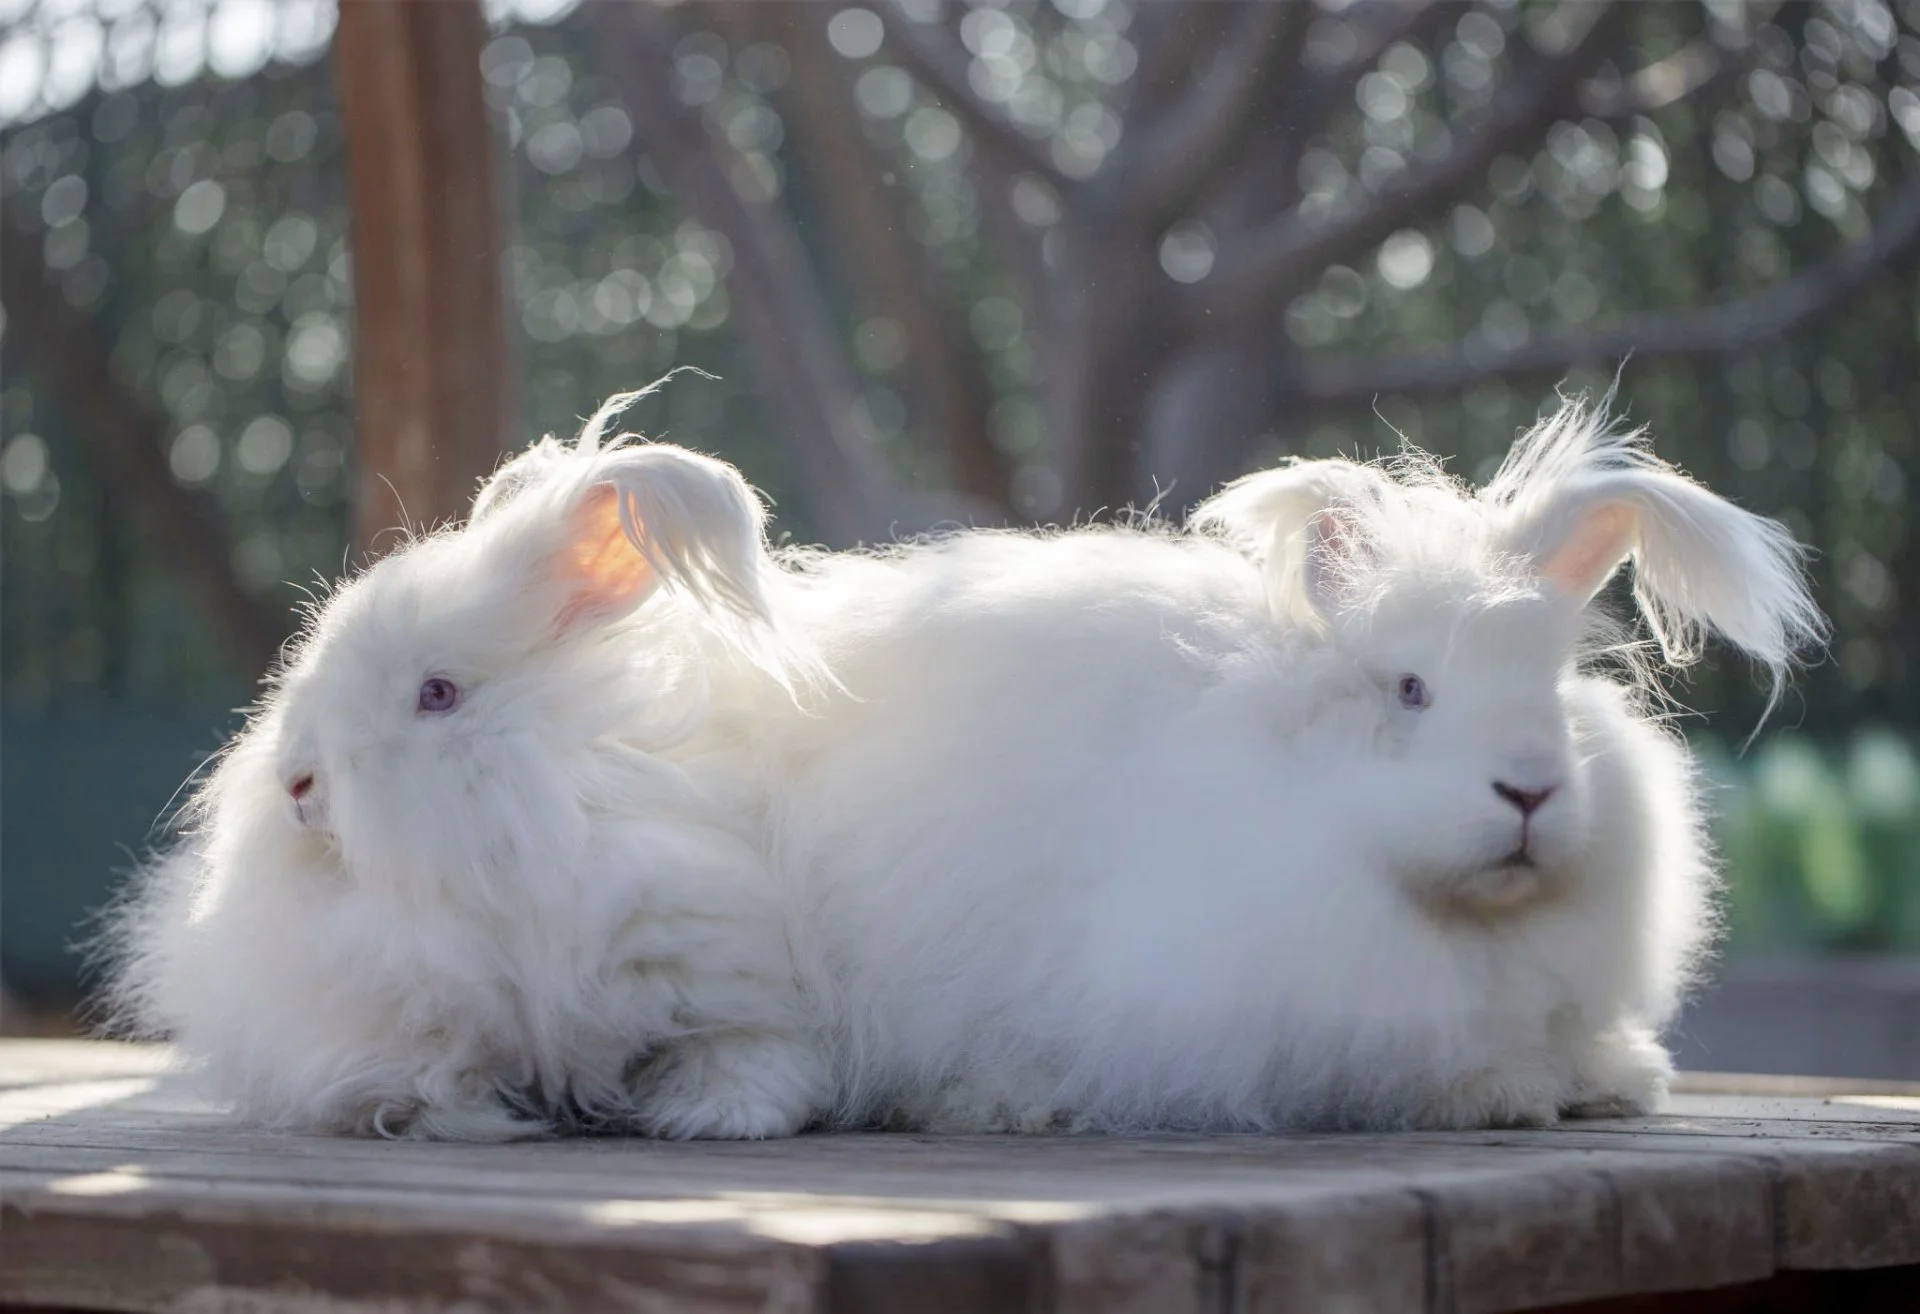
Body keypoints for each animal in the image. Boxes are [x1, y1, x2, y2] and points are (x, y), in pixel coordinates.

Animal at [99, 394, 830, 1141]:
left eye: (438, 694)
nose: (298, 785)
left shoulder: (717, 964)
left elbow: (746, 1049)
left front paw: (718, 1114)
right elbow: (422, 1062)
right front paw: (434, 1106)